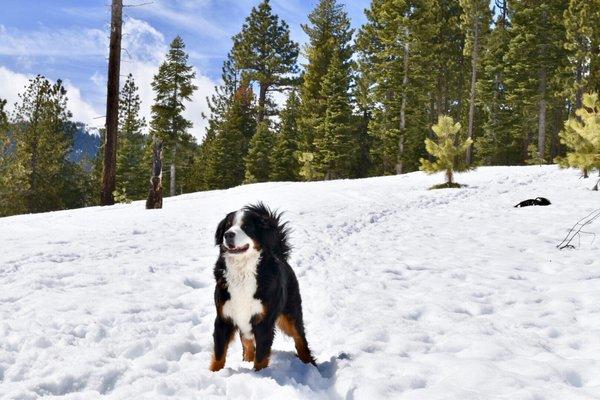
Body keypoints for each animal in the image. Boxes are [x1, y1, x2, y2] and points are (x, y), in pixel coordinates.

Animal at [210, 203, 316, 372]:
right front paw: (214, 374)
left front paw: (258, 375)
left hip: (290, 315)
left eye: (246, 226)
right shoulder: (223, 318)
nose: (228, 235)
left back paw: (310, 365)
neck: (243, 271)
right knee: (247, 343)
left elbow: (260, 357)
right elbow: (219, 354)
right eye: (228, 225)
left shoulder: (264, 322)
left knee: (300, 340)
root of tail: (279, 255)